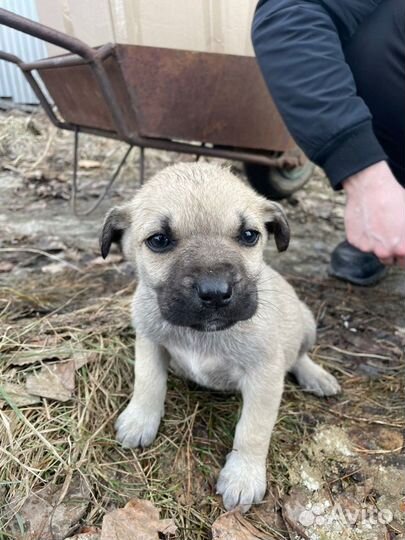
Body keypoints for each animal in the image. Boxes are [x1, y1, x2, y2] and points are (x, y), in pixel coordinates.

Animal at [99, 162, 340, 512]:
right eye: (159, 240)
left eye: (249, 235)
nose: (215, 293)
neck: (202, 334)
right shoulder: (148, 340)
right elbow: (148, 382)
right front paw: (140, 420)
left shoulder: (265, 377)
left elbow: (252, 430)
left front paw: (243, 476)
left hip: (306, 323)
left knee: (299, 356)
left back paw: (316, 376)